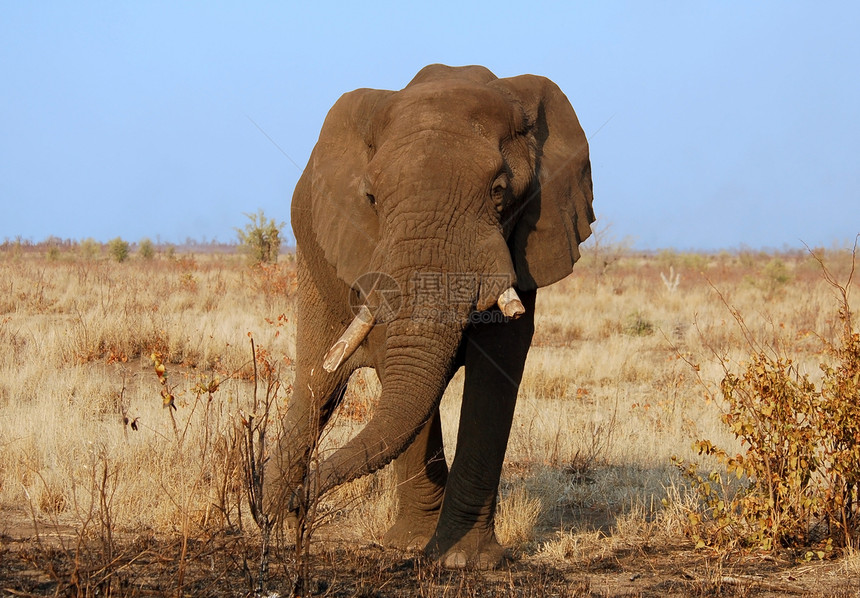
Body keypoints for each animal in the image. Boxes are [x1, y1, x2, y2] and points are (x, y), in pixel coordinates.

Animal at [272, 63, 596, 568]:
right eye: (371, 198)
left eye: (499, 191)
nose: (301, 505)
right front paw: (413, 547)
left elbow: (497, 367)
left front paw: (464, 561)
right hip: (312, 253)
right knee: (316, 387)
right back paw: (268, 527)